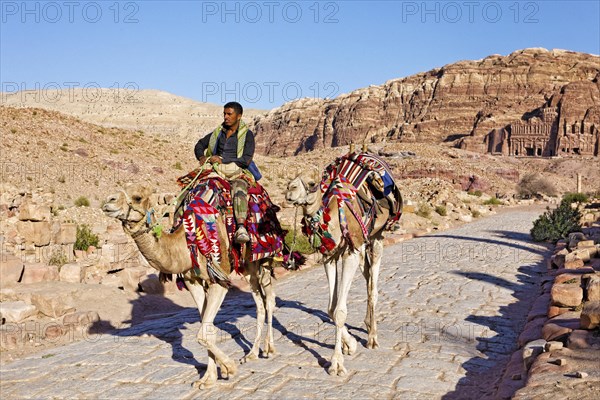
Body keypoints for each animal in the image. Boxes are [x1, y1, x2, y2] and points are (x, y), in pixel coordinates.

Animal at [102, 183, 278, 390]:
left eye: (137, 197)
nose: (108, 201)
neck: (185, 244)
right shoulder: (192, 282)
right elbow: (207, 329)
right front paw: (208, 378)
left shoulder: (219, 279)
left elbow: (203, 334)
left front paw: (229, 368)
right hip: (248, 266)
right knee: (259, 302)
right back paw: (251, 354)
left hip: (263, 258)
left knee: (269, 300)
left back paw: (269, 349)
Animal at [288, 164, 404, 376]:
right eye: (292, 179)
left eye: (312, 183)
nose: (289, 190)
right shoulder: (330, 256)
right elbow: (331, 309)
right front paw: (349, 344)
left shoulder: (349, 254)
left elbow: (340, 311)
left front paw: (336, 364)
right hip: (362, 246)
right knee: (367, 277)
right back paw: (367, 326)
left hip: (376, 237)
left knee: (372, 289)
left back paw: (372, 337)